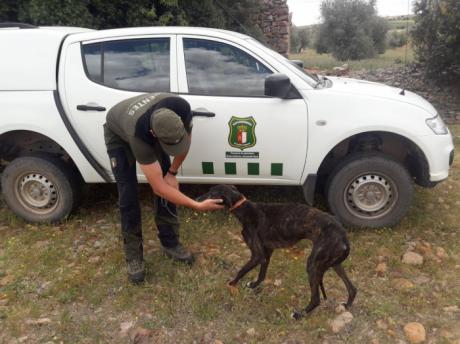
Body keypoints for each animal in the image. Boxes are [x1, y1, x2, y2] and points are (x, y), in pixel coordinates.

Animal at [197, 185, 356, 320]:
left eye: (211, 193)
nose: (197, 199)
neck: (244, 208)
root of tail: (343, 236)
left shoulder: (257, 255)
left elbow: (241, 270)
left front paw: (231, 284)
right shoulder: (267, 252)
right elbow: (261, 275)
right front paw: (254, 286)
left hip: (313, 264)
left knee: (316, 299)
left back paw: (299, 315)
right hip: (333, 263)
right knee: (352, 288)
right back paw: (347, 306)